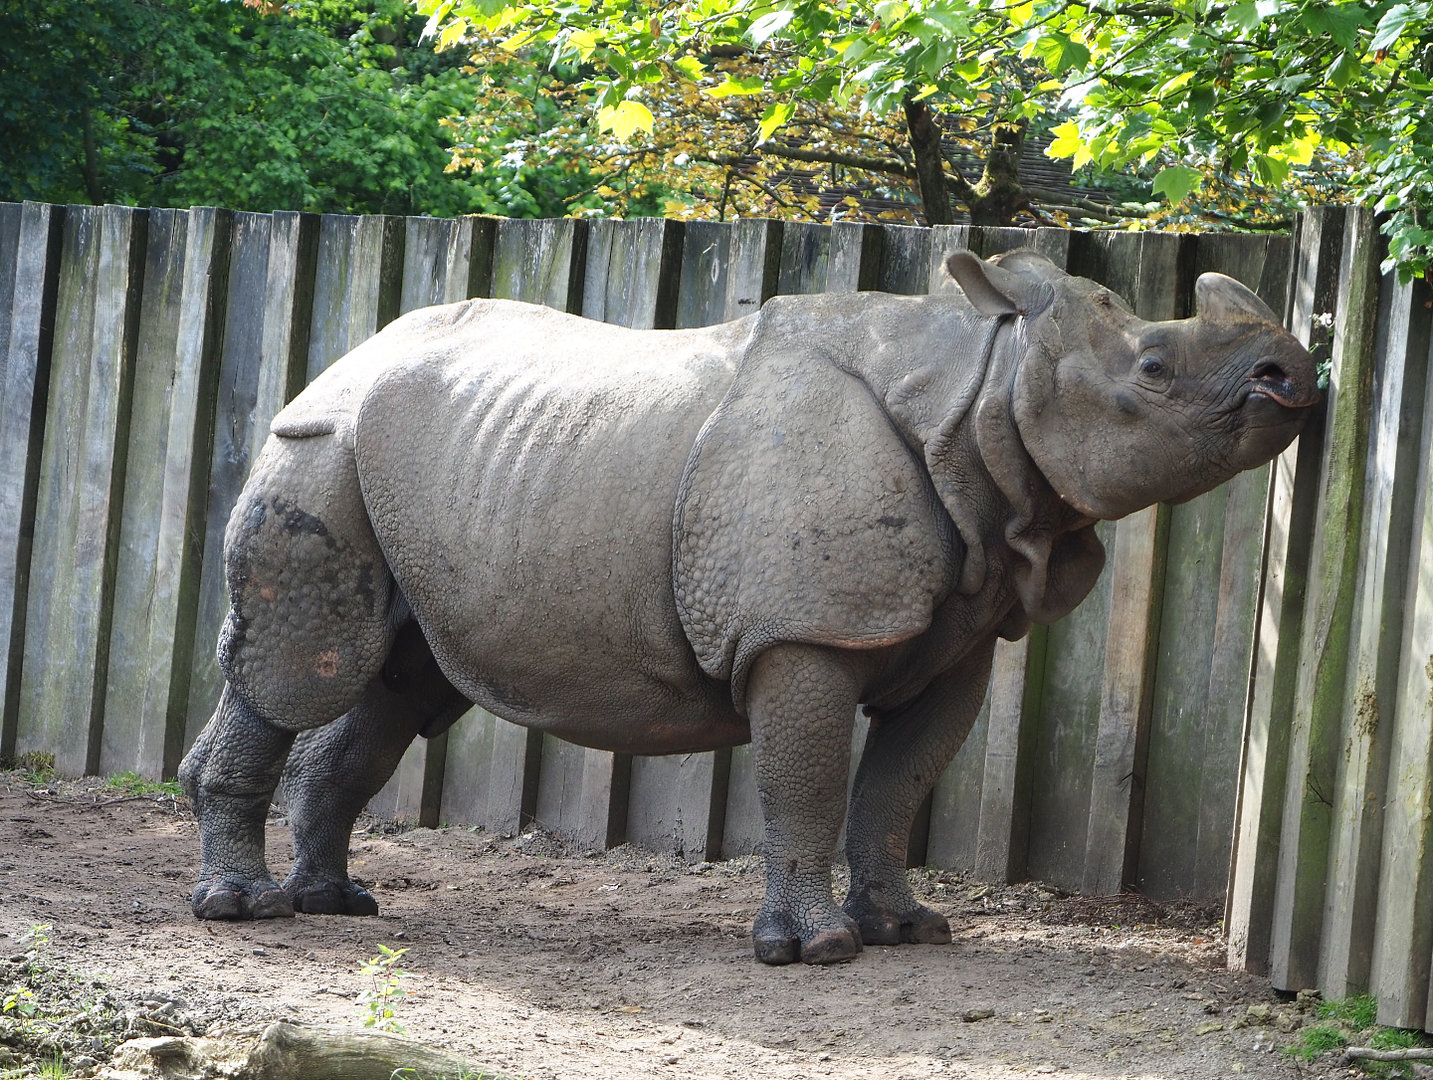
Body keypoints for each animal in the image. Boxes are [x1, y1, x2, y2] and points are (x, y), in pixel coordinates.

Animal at [179, 248, 1318, 965]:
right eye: (1153, 370)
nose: (1292, 373)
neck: (981, 393)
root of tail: (338, 358)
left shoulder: (957, 632)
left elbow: (897, 784)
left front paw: (907, 930)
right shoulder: (805, 631)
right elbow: (805, 783)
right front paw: (816, 949)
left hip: (433, 476)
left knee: (395, 689)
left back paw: (333, 903)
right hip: (320, 449)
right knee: (303, 669)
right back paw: (243, 913)